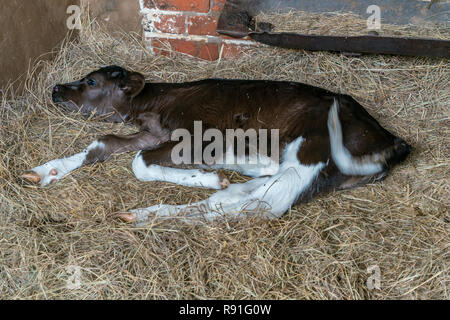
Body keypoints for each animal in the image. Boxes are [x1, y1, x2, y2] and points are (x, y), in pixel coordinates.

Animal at [22, 66, 414, 224]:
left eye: (91, 81)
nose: (56, 88)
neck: (155, 106)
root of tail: (389, 138)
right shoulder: (151, 133)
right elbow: (102, 145)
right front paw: (47, 170)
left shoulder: (194, 138)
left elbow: (140, 162)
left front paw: (206, 176)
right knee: (240, 199)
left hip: (309, 152)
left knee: (255, 206)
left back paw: (151, 213)